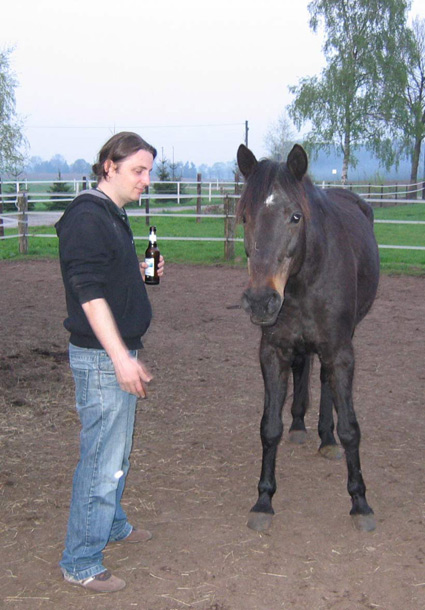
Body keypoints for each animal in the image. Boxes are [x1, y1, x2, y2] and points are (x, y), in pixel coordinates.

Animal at [237, 142, 380, 532]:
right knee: (304, 368)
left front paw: (360, 502)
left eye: (295, 216)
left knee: (324, 382)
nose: (260, 300)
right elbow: (269, 426)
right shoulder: (272, 351)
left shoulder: (340, 352)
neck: (302, 281)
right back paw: (301, 424)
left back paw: (325, 437)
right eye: (245, 217)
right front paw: (263, 500)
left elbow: (350, 427)